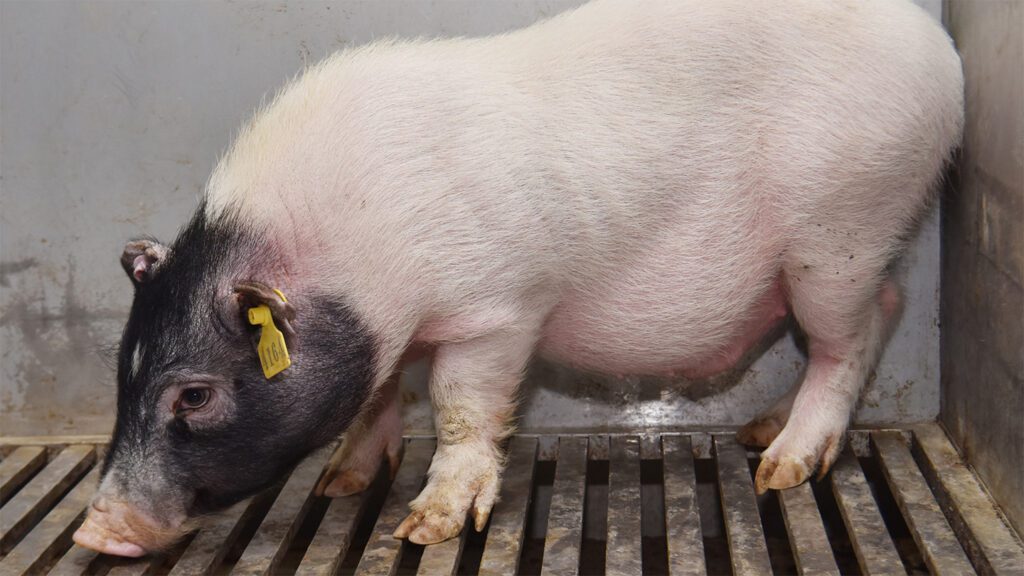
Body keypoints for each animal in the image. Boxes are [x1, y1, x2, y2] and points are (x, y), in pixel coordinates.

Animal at [72, 0, 963, 556]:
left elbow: (460, 406)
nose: (94, 530)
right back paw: (757, 432)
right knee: (879, 310)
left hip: (839, 232)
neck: (356, 256)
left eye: (195, 395)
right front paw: (338, 485)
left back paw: (781, 468)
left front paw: (426, 527)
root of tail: (942, 53)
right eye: (121, 376)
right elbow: (379, 391)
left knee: (854, 333)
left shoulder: (494, 312)